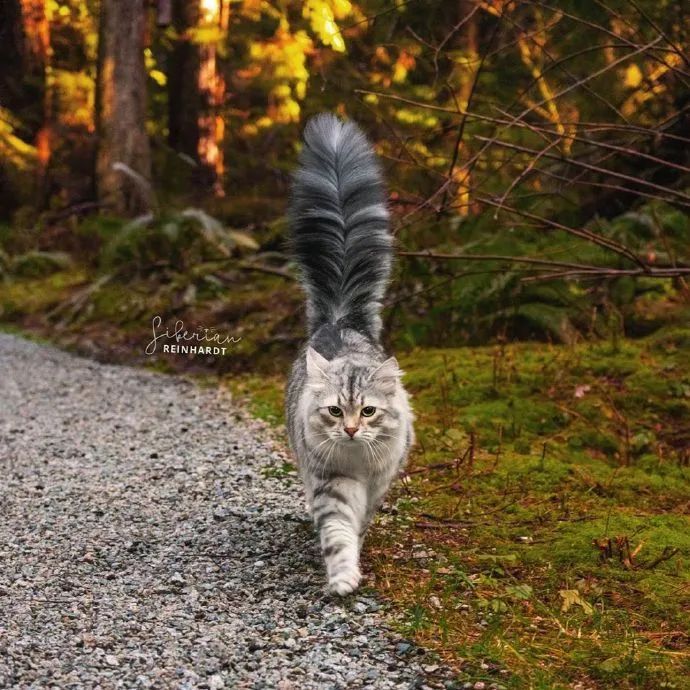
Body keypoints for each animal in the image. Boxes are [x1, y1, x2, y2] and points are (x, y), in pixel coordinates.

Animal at [284, 111, 412, 592]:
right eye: (337, 411)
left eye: (369, 411)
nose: (353, 430)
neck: (356, 462)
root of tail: (340, 318)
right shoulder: (330, 483)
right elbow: (337, 533)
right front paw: (342, 577)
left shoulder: (377, 482)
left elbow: (357, 525)